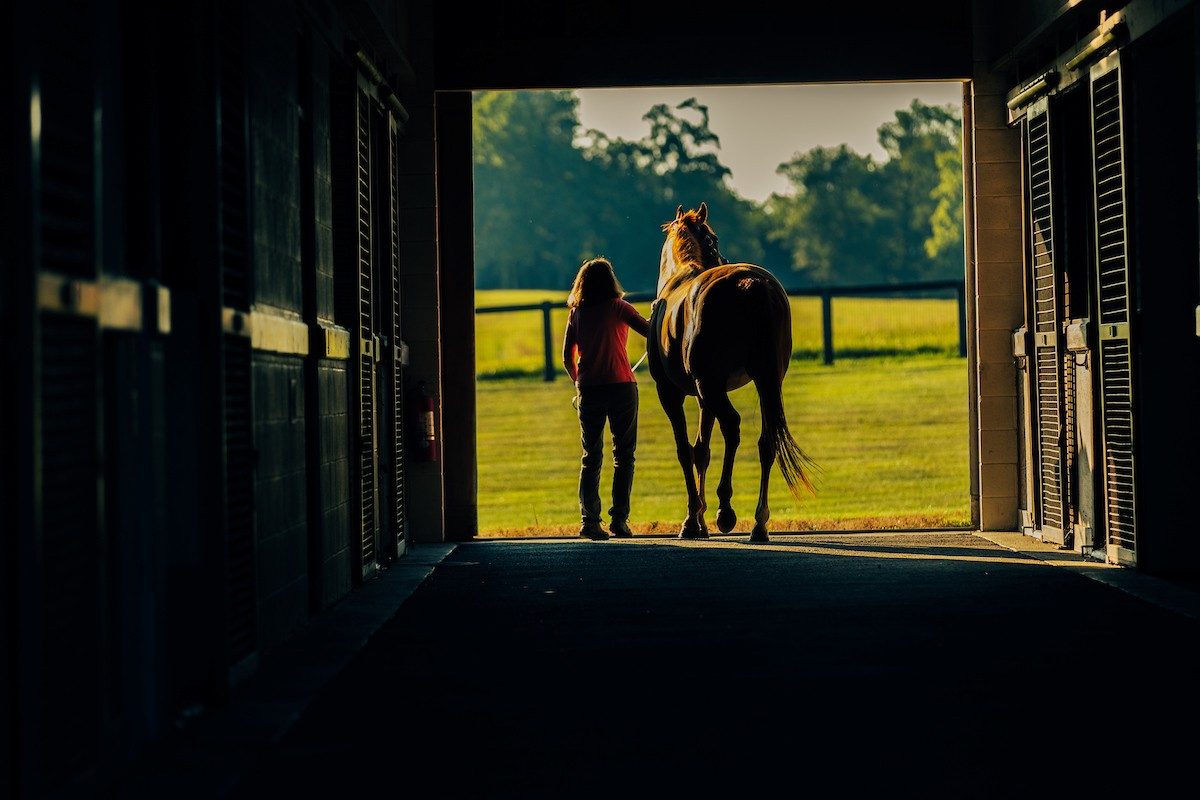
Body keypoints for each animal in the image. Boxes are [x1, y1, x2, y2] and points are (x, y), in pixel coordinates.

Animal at [648, 203, 816, 544]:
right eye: (713, 239)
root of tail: (752, 285)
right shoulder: (703, 398)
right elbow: (701, 450)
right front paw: (698, 520)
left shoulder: (673, 393)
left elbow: (684, 450)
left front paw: (691, 521)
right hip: (766, 381)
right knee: (766, 442)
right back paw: (759, 523)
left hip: (713, 386)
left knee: (733, 426)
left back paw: (725, 510)